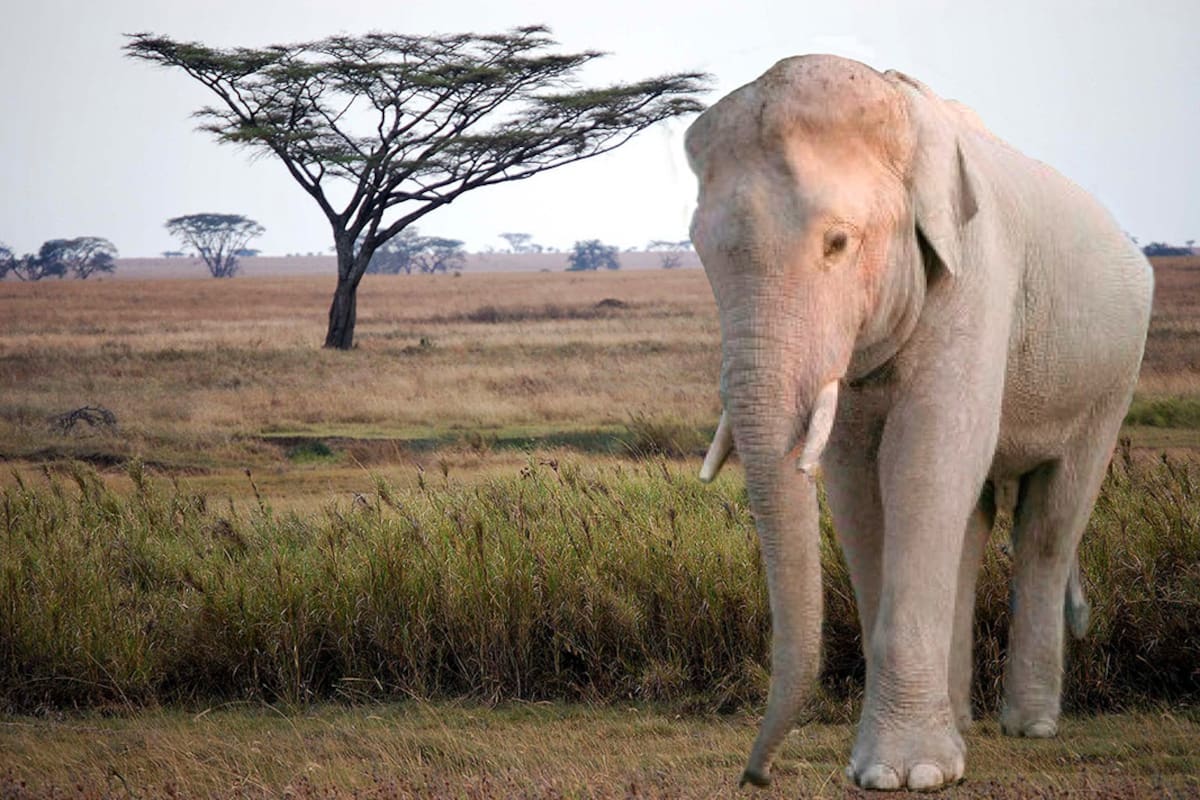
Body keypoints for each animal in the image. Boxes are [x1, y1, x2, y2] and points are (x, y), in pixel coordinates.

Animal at [686, 55, 1152, 791]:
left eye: (838, 243)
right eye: (699, 253)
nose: (754, 776)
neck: (903, 119)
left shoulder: (977, 271)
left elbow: (924, 462)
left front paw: (905, 775)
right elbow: (855, 482)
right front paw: (890, 766)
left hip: (1113, 371)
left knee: (1051, 521)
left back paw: (1030, 725)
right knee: (975, 520)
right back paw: (961, 721)